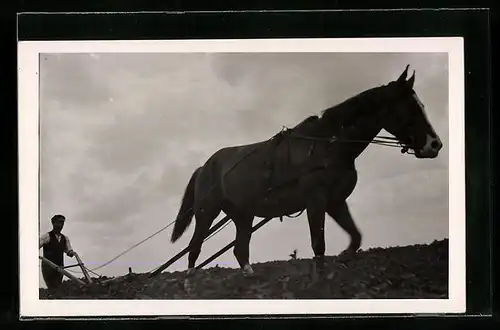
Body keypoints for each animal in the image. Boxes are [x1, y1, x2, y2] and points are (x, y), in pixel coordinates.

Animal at [170, 63, 444, 276]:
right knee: (195, 246)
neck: (328, 144)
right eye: (409, 107)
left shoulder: (335, 201)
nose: (435, 144)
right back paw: (190, 281)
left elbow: (355, 237)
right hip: (207, 212)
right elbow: (318, 245)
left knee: (240, 248)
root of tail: (204, 166)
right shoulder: (316, 200)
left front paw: (343, 258)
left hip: (243, 214)